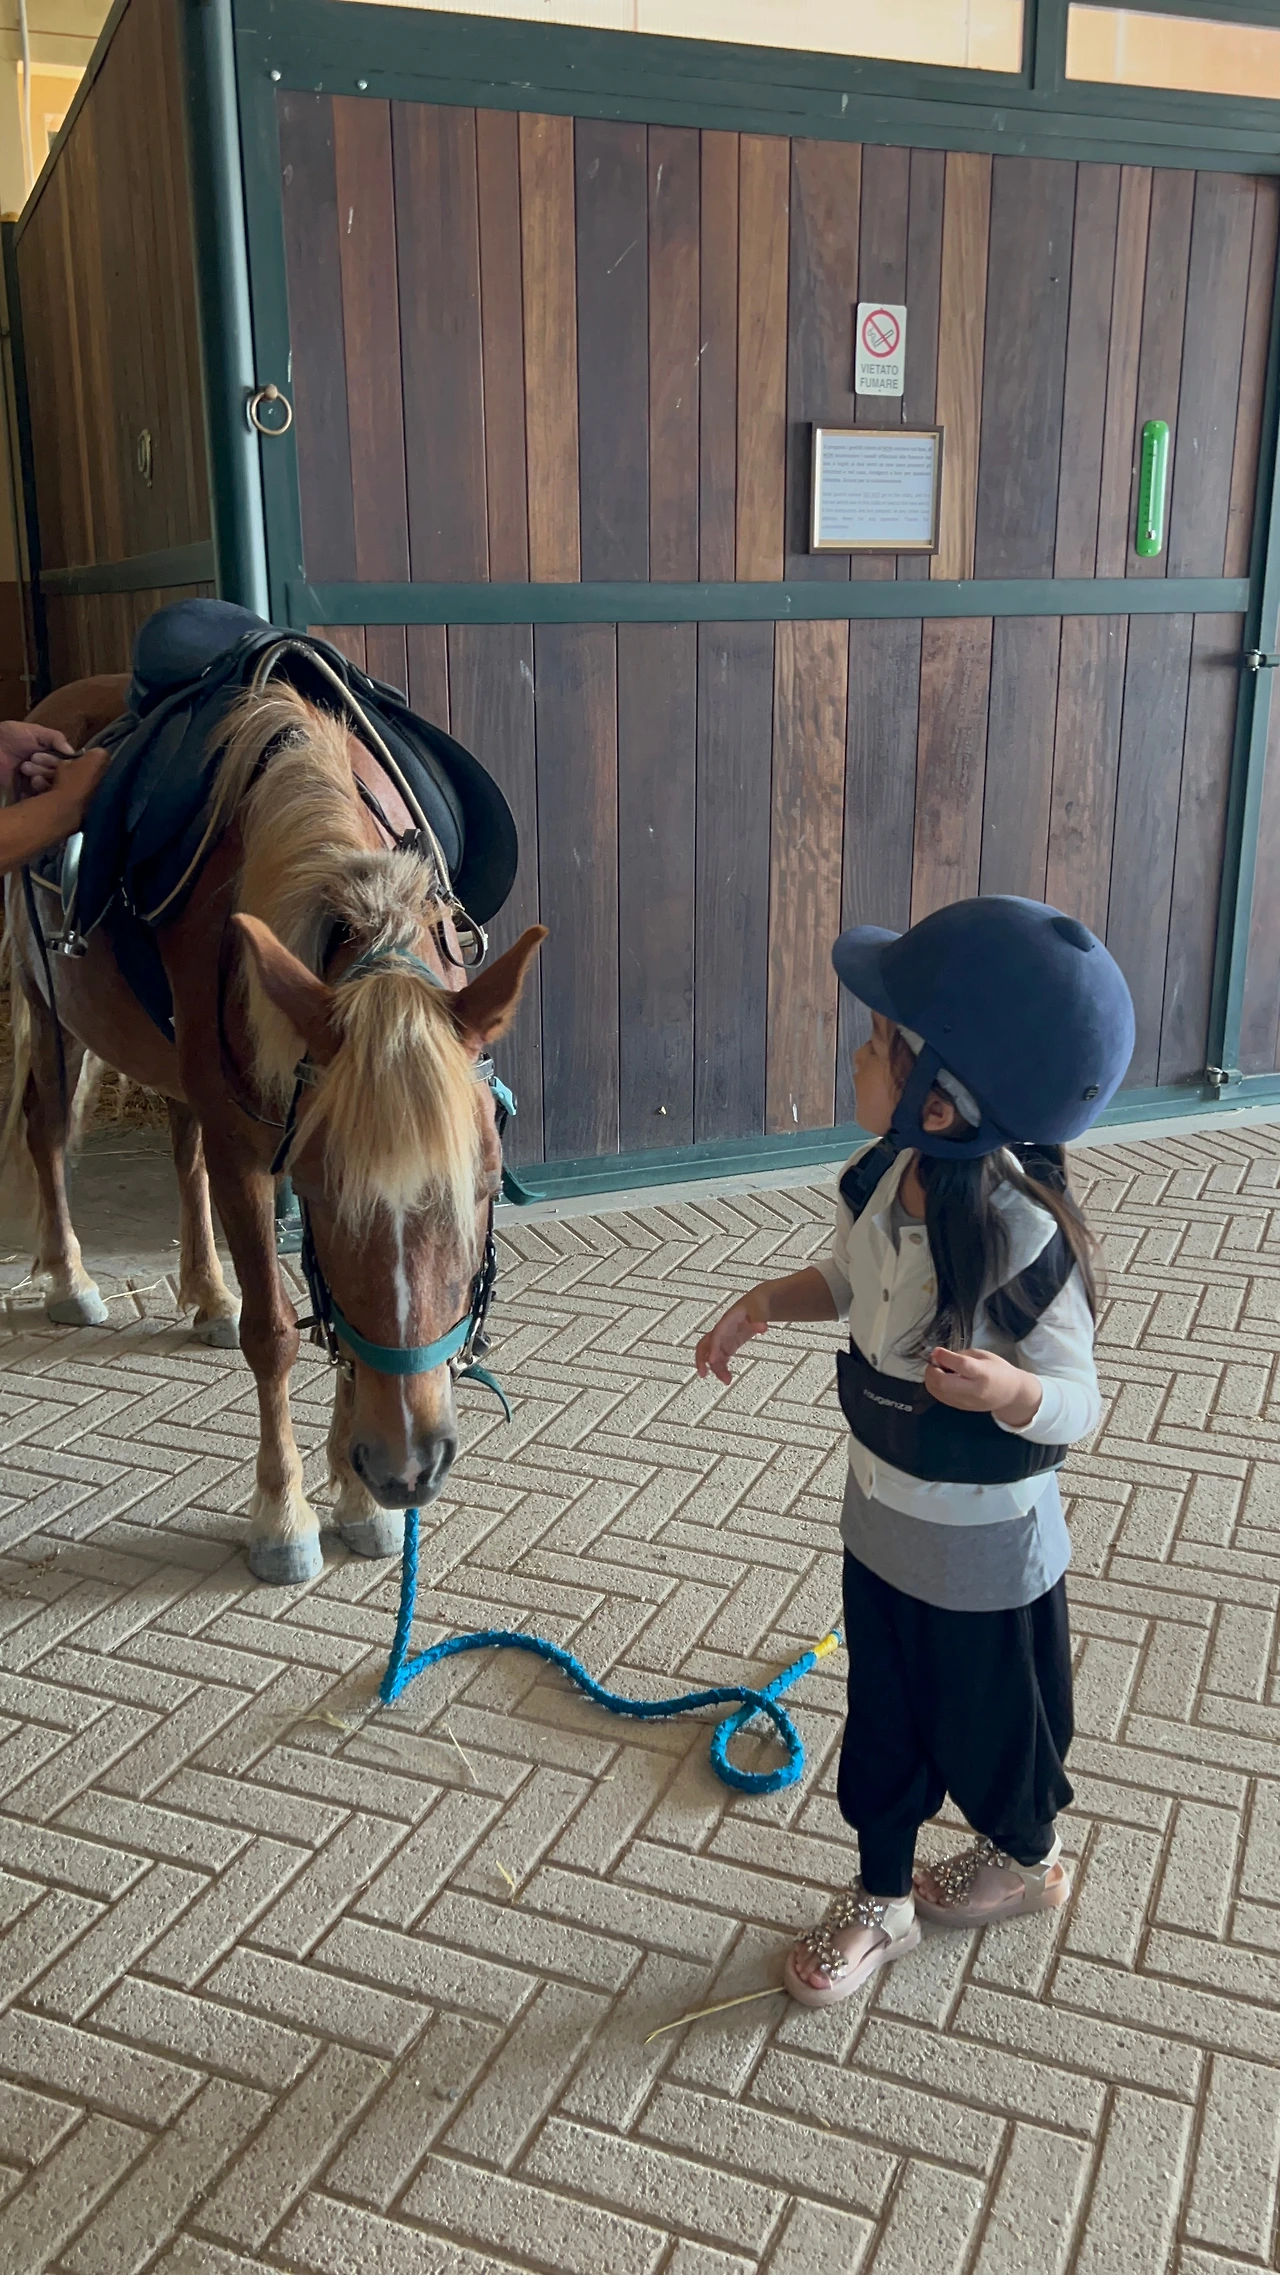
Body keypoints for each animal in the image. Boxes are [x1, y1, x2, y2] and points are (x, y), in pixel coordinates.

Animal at [2, 670, 544, 1585]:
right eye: (321, 1187)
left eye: (482, 1183)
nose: (406, 1466)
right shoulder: (249, 1157)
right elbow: (278, 1335)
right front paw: (284, 1515)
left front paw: (359, 1503)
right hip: (52, 1015)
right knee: (47, 1134)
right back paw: (72, 1281)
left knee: (181, 1153)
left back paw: (207, 1293)